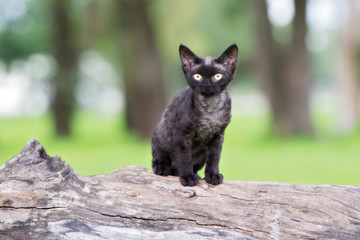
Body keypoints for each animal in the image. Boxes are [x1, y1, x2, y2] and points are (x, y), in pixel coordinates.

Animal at [150, 44, 238, 187]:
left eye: (217, 76)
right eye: (197, 76)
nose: (207, 85)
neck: (210, 109)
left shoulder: (218, 136)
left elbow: (214, 158)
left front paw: (213, 175)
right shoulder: (181, 134)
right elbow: (185, 157)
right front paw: (187, 177)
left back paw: (196, 174)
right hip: (160, 134)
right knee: (159, 160)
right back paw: (162, 168)